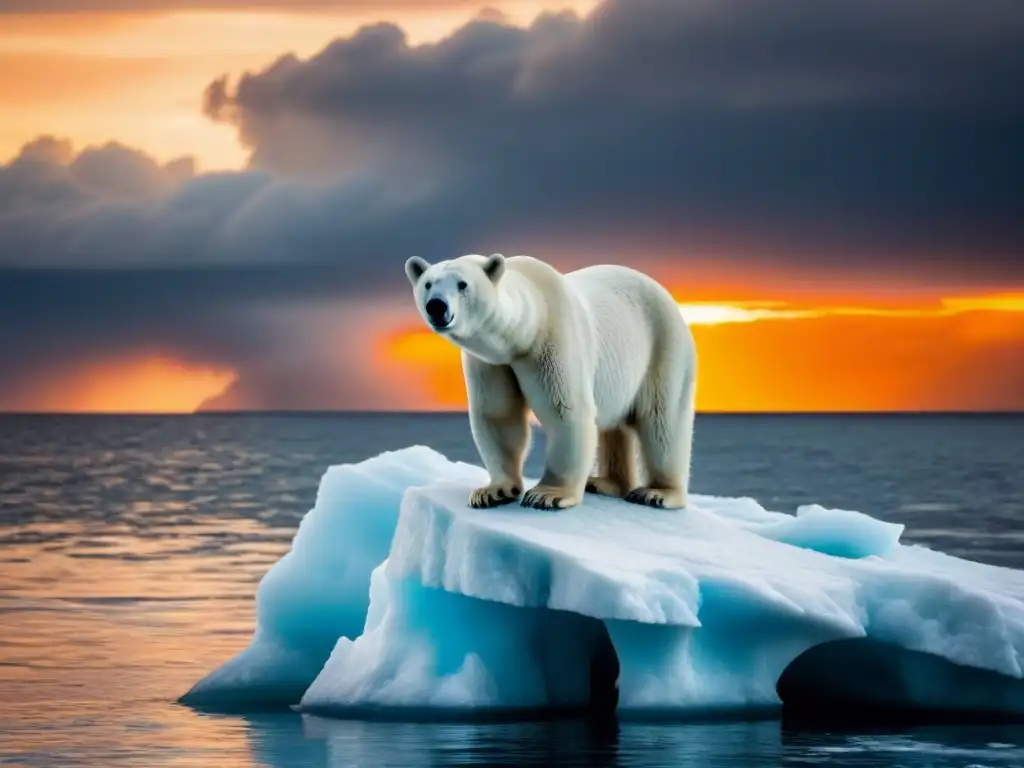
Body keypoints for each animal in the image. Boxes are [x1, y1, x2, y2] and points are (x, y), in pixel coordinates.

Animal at [405, 256, 696, 514]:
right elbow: (498, 415)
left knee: (662, 421)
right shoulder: (490, 363)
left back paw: (657, 493)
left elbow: (565, 410)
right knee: (615, 426)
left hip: (662, 347)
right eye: (428, 284)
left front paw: (547, 495)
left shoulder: (552, 340)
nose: (436, 306)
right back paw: (604, 483)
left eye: (463, 284)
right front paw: (492, 492)